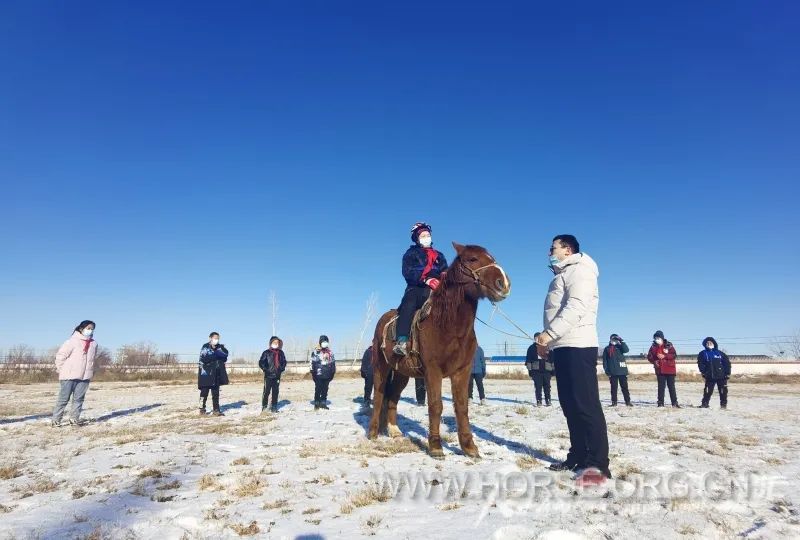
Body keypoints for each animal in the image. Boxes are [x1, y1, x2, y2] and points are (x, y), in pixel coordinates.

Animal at [368, 243, 512, 458]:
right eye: (472, 259)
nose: (503, 283)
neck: (448, 326)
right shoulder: (432, 371)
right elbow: (436, 405)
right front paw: (435, 445)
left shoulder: (462, 371)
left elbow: (461, 406)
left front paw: (468, 446)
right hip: (381, 367)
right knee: (378, 396)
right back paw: (373, 432)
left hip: (402, 373)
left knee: (392, 397)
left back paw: (394, 431)